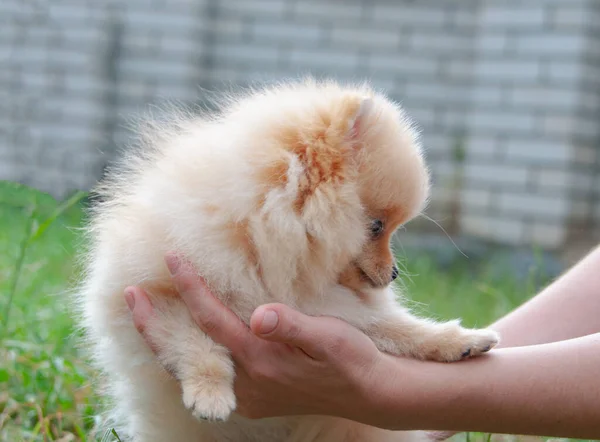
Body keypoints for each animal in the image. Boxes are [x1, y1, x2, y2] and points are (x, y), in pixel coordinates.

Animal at [77, 77, 500, 440]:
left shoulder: (335, 309)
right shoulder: (155, 296)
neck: (263, 248)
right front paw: (211, 394)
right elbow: (195, 345)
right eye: (377, 226)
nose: (394, 273)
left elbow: (402, 330)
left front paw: (463, 340)